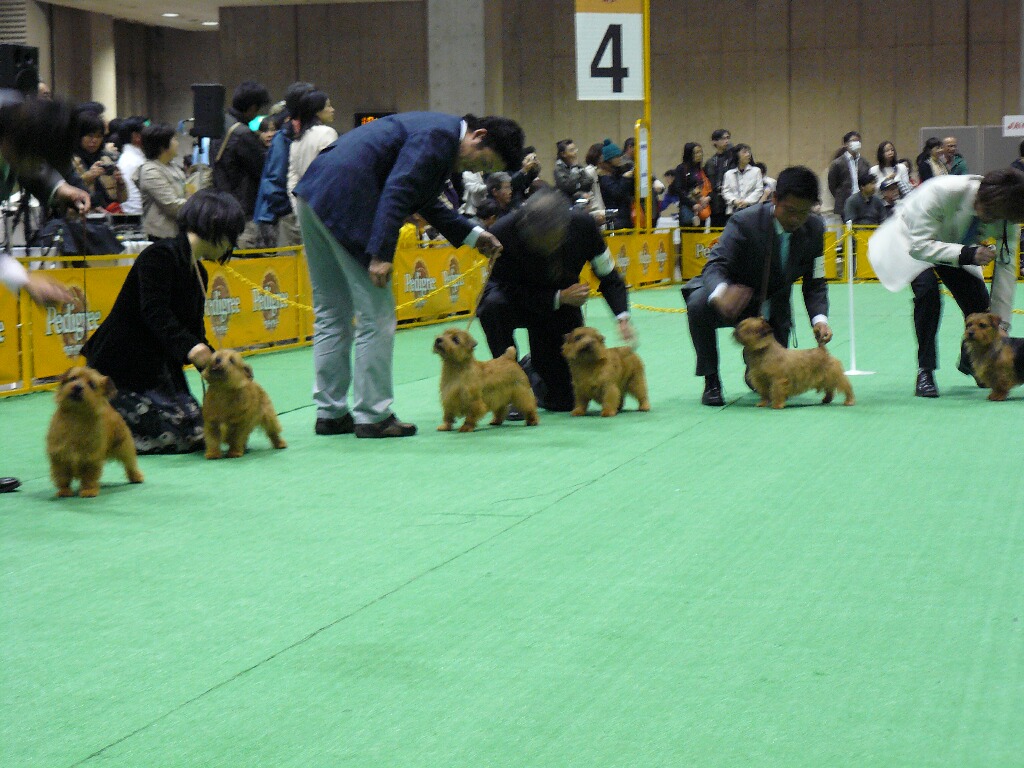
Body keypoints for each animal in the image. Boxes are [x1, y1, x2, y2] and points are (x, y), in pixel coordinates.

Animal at [46, 366, 143, 497]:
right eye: (73, 378)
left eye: (92, 384)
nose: (77, 387)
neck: (76, 417)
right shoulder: (60, 458)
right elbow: (63, 477)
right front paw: (64, 491)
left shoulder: (91, 458)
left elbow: (89, 477)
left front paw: (89, 490)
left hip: (124, 447)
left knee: (130, 464)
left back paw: (136, 476)